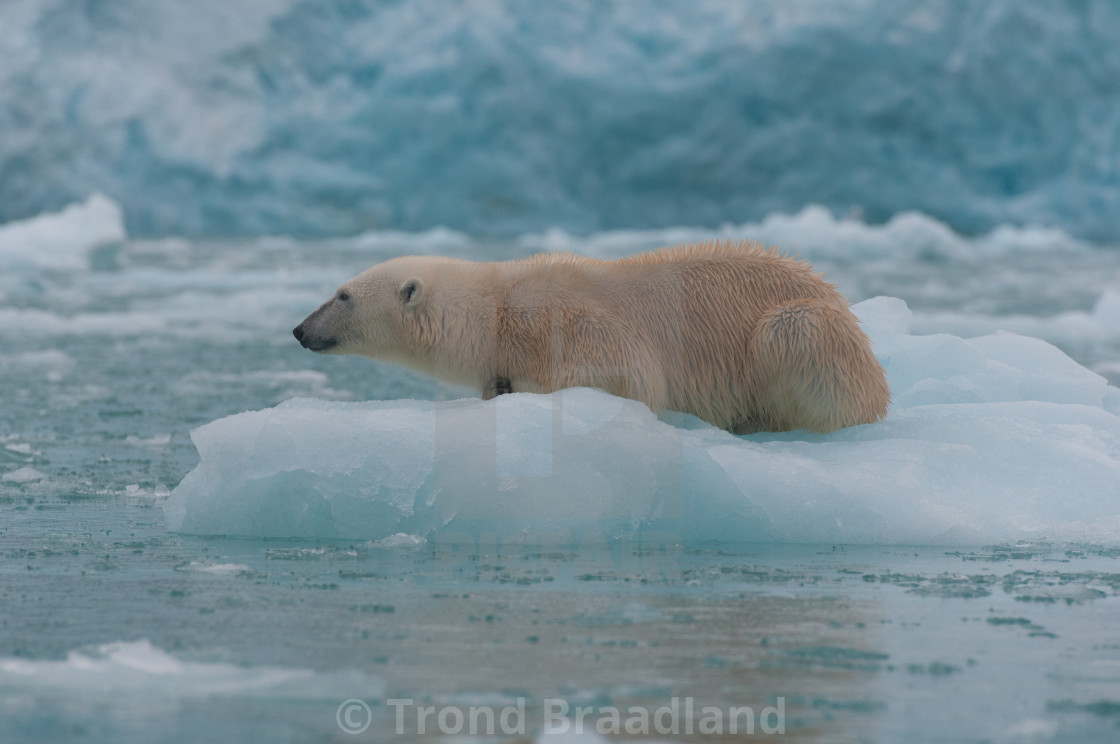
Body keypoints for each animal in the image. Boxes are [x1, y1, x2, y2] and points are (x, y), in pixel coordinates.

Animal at [293, 240, 887, 432]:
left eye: (342, 295)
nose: (299, 329)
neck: (495, 307)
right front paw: (496, 387)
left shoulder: (559, 318)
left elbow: (629, 376)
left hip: (808, 331)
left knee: (792, 339)